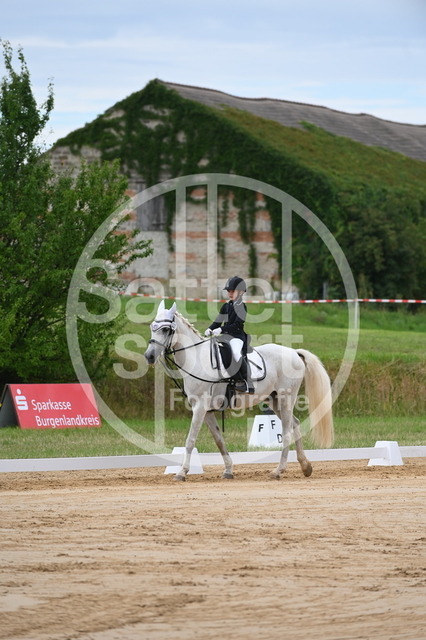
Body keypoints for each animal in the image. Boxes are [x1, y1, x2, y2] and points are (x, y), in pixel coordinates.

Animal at [144, 300, 334, 481]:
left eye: (166, 329)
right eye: (152, 327)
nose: (149, 356)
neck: (197, 359)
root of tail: (294, 352)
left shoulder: (200, 407)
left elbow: (190, 440)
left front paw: (181, 472)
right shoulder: (207, 411)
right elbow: (219, 440)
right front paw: (228, 470)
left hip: (286, 398)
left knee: (287, 432)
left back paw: (278, 471)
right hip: (274, 400)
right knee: (295, 424)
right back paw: (305, 467)